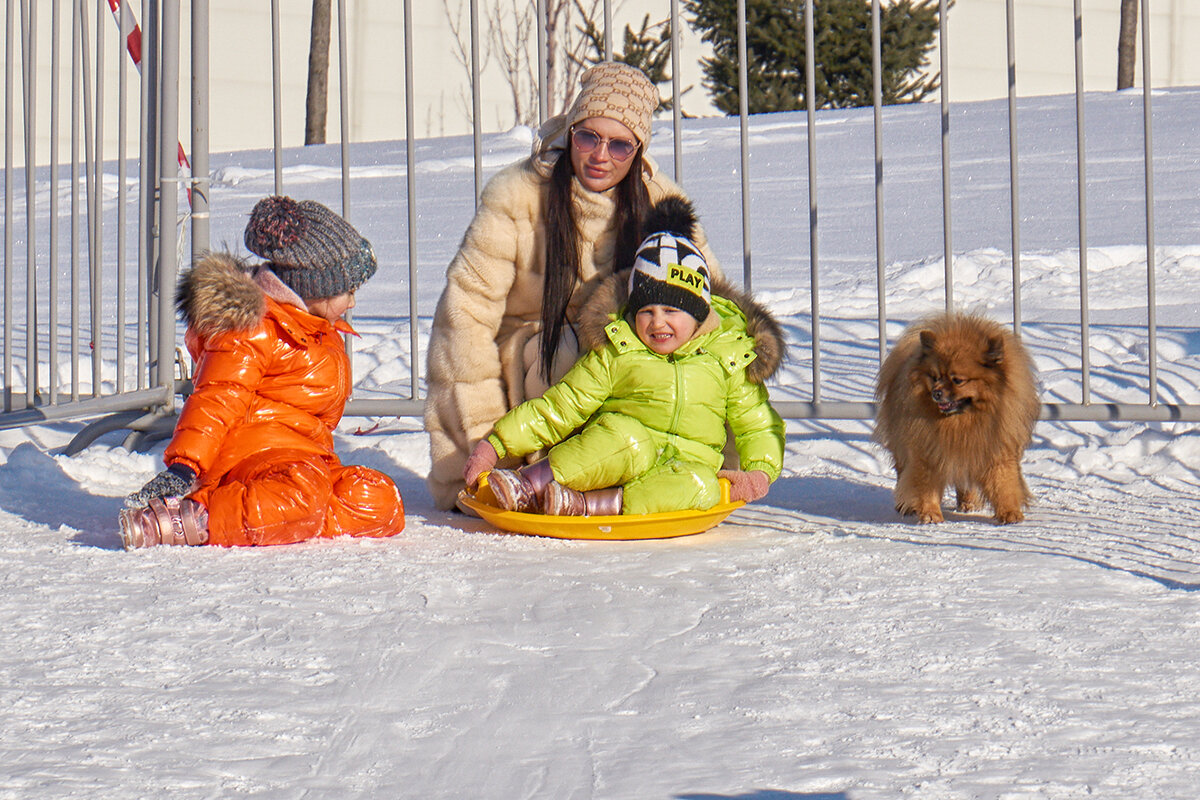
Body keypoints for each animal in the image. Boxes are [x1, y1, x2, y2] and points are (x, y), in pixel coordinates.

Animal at [873, 311, 1041, 525]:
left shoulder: (995, 450)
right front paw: (930, 514)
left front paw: (1009, 513)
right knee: (903, 472)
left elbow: (1004, 484)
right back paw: (906, 506)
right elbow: (925, 487)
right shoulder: (927, 452)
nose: (936, 393)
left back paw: (968, 504)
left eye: (958, 380)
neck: (962, 422)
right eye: (935, 377)